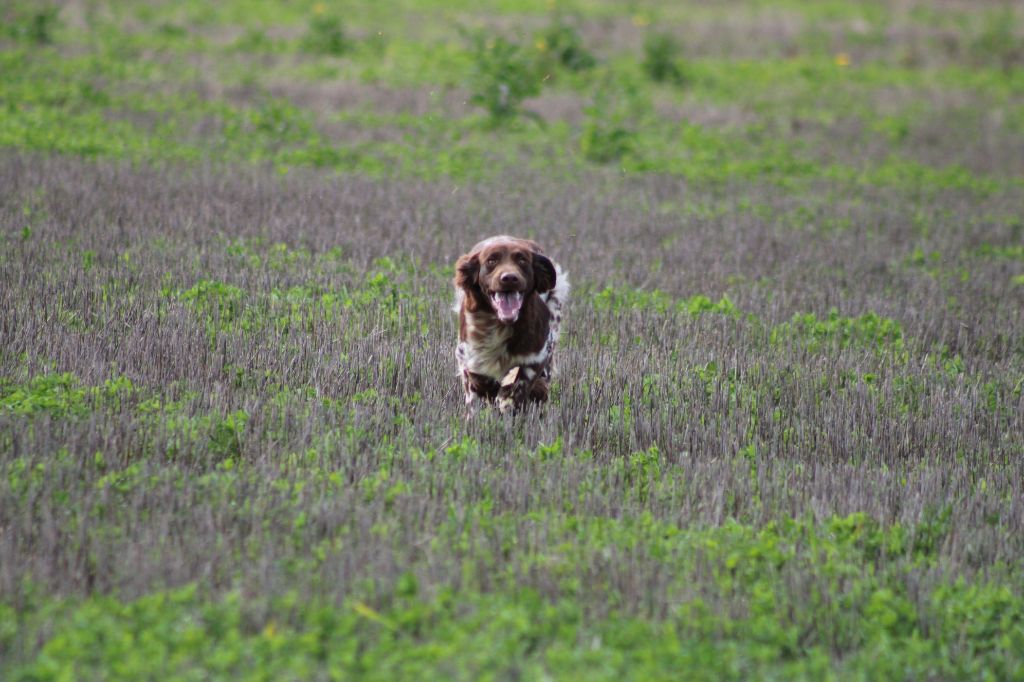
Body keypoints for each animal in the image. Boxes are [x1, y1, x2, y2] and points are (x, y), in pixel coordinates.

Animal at [456, 235, 569, 409]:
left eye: (522, 260)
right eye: (491, 260)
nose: (509, 278)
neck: (500, 325)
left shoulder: (538, 355)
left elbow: (520, 384)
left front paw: (508, 397)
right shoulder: (466, 355)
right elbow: (478, 379)